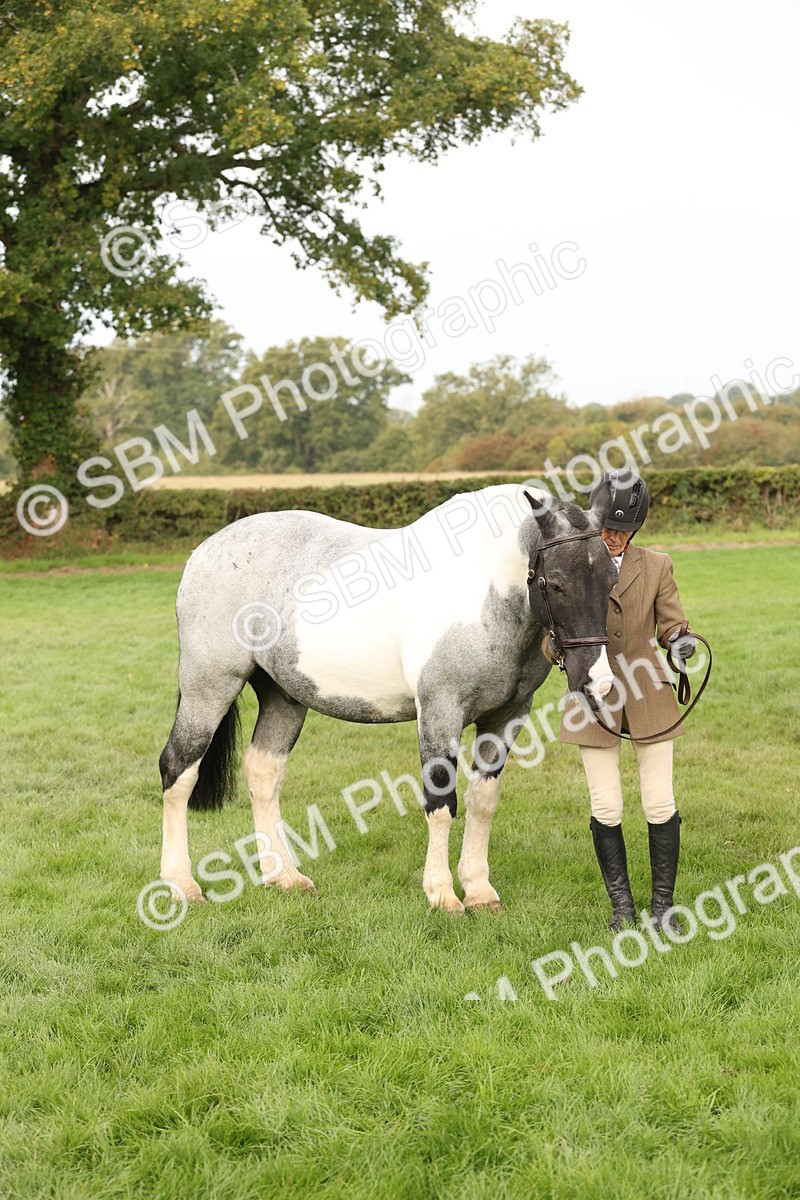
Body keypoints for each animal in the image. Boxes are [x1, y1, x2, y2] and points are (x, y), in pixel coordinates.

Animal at [158, 481, 618, 913]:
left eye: (612, 580)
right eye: (556, 584)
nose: (598, 682)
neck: (481, 591)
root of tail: (204, 553)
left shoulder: (506, 716)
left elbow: (483, 801)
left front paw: (479, 891)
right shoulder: (440, 711)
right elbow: (441, 801)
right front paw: (442, 895)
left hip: (282, 696)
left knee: (263, 773)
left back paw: (284, 877)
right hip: (209, 685)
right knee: (178, 768)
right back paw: (181, 884)